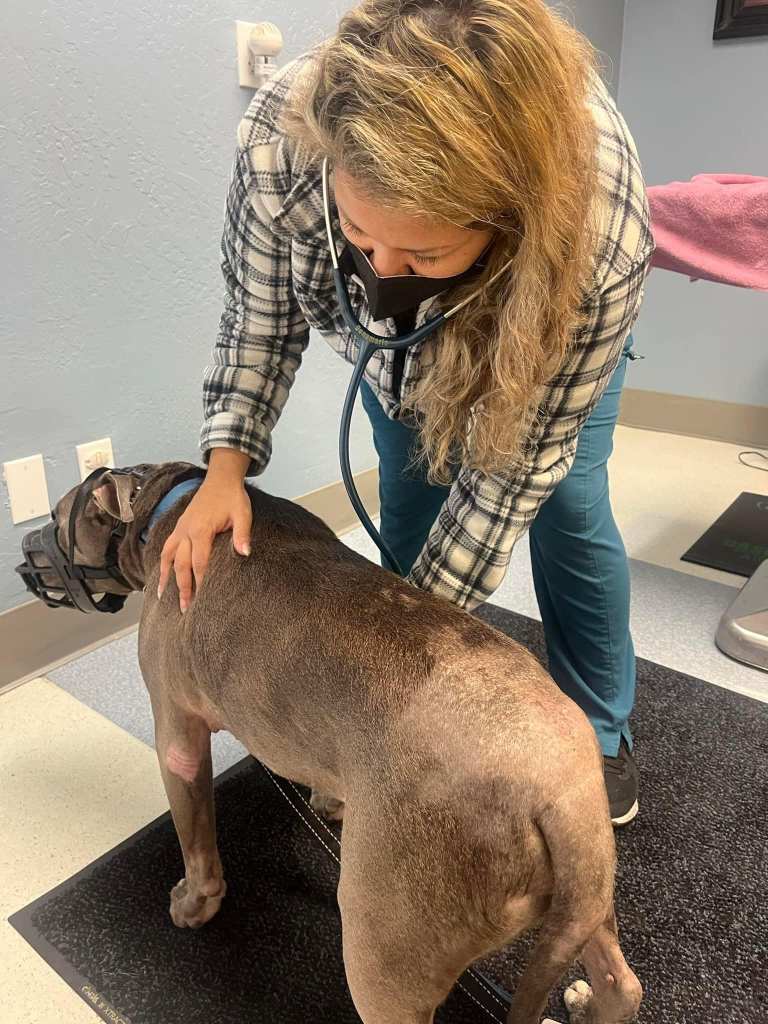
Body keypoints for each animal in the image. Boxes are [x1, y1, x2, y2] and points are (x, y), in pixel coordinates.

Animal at [25, 461, 642, 1024]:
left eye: (55, 518)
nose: (24, 549)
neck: (162, 506)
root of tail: (559, 797)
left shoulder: (177, 736)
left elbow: (195, 837)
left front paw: (194, 903)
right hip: (586, 894)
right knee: (622, 983)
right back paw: (590, 1002)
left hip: (383, 949)